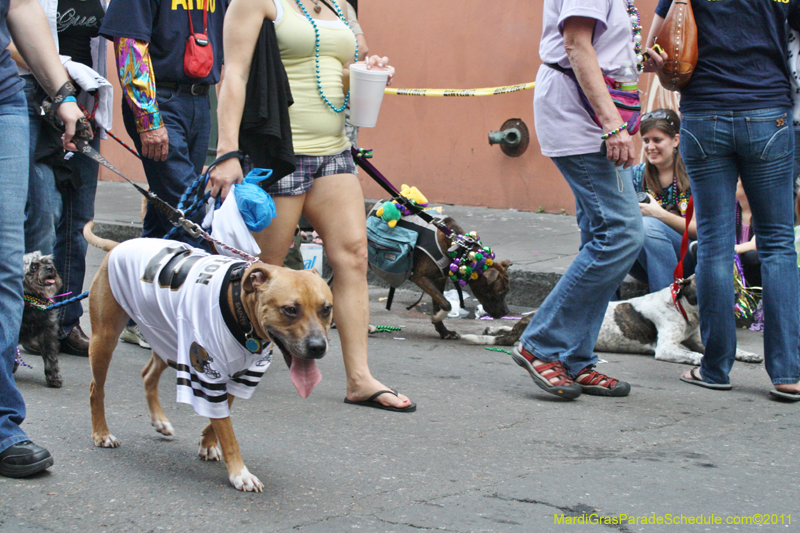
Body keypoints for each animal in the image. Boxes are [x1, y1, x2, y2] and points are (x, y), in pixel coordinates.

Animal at [19, 251, 63, 384]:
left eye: (48, 262)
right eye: (33, 267)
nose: (50, 268)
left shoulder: (47, 332)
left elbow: (50, 355)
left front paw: (53, 377)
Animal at [82, 222, 332, 492]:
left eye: (326, 309)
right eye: (290, 310)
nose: (318, 347)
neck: (240, 307)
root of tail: (118, 246)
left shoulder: (240, 376)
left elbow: (221, 415)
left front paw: (207, 442)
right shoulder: (206, 375)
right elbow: (228, 431)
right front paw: (240, 473)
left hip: (169, 340)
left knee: (148, 375)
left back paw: (159, 421)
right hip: (105, 339)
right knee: (97, 389)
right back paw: (101, 433)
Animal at [460, 274, 760, 366]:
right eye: (708, 285)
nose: (737, 293)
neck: (683, 307)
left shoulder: (695, 339)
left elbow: (729, 348)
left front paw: (748, 354)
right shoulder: (667, 347)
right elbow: (691, 354)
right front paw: (699, 361)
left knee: (504, 327)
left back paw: (492, 326)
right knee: (505, 335)